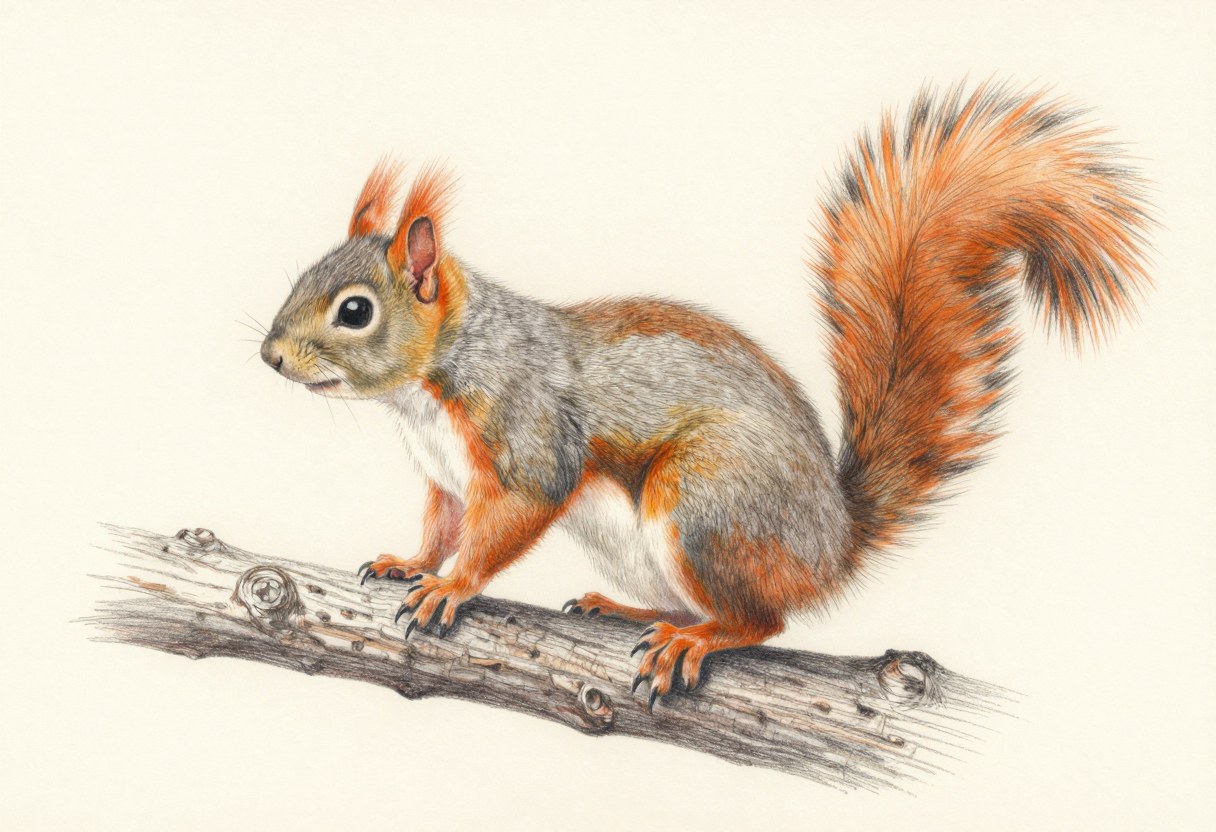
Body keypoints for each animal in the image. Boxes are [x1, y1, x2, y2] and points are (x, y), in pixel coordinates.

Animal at [261, 82, 1152, 709]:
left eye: (354, 311)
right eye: (305, 276)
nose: (268, 357)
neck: (427, 388)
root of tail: (832, 544)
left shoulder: (529, 433)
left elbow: (508, 519)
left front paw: (451, 588)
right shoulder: (445, 476)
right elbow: (441, 525)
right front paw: (409, 562)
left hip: (705, 502)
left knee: (762, 621)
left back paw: (694, 642)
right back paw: (631, 615)